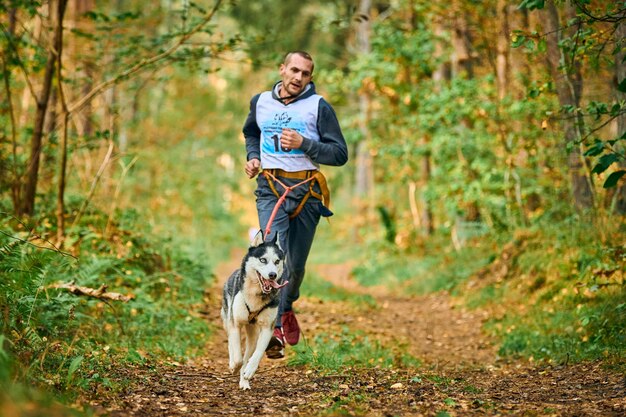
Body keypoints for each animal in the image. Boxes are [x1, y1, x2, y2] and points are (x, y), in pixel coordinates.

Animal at [221, 229, 286, 388]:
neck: (256, 294)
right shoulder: (235, 324)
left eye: (277, 261)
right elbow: (237, 355)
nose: (272, 275)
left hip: (253, 333)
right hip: (227, 319)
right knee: (231, 343)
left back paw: (244, 381)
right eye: (263, 260)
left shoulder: (267, 327)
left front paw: (249, 370)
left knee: (248, 353)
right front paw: (234, 366)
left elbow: (257, 353)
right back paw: (233, 364)